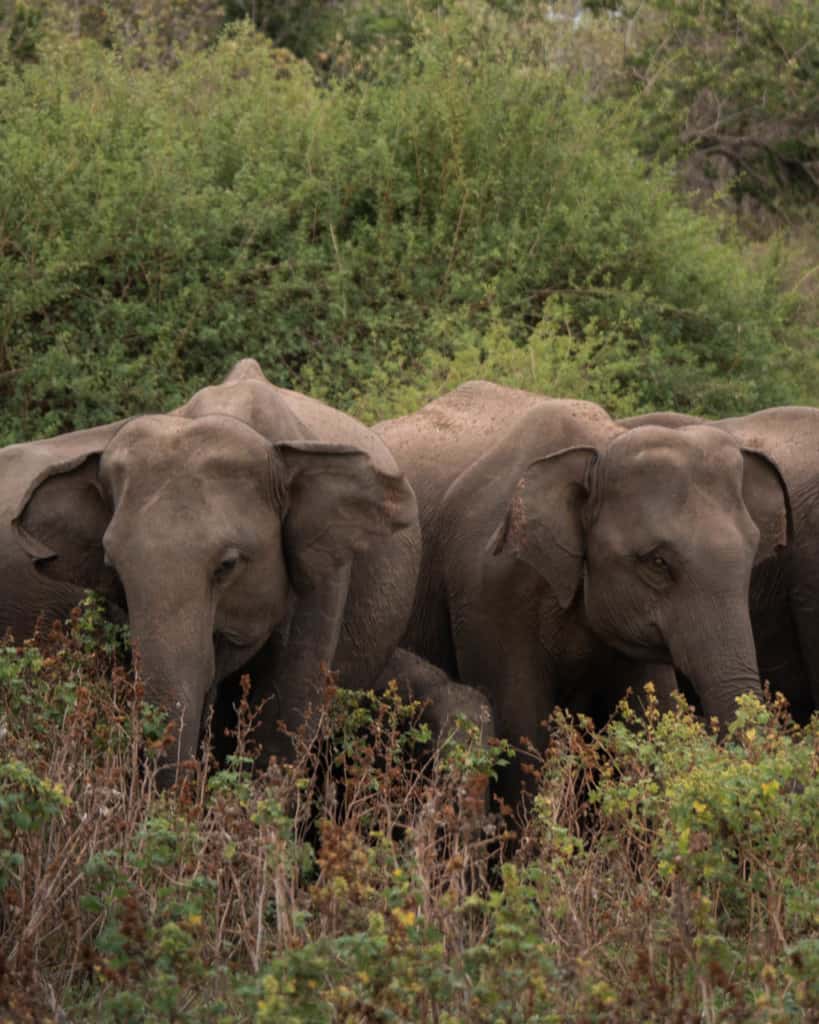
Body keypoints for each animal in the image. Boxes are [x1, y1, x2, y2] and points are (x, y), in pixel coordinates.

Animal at [375, 382, 791, 806]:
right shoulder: (485, 587)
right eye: (657, 562)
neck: (601, 447)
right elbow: (520, 728)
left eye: (751, 556)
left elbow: (645, 714)